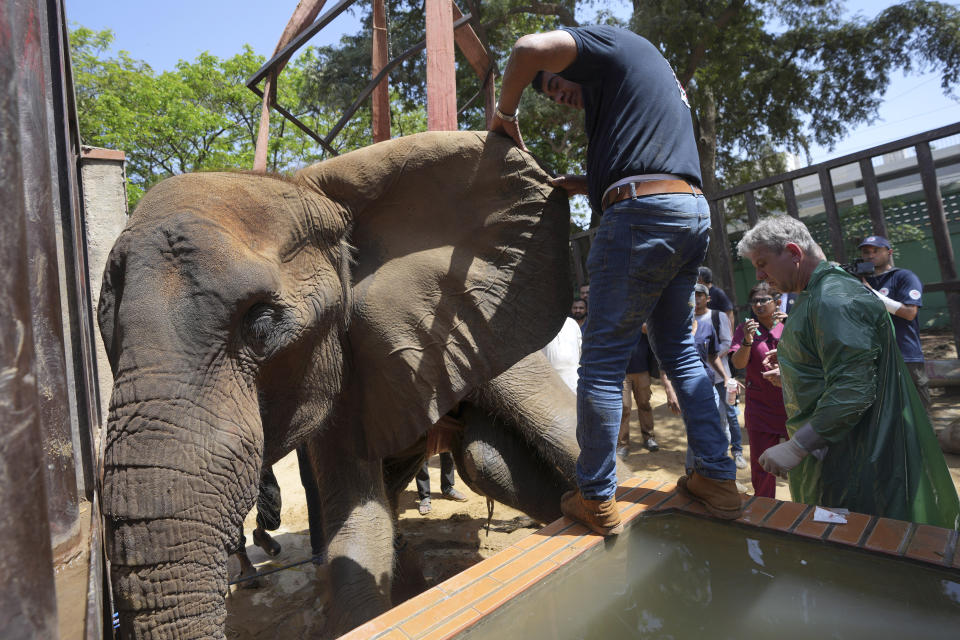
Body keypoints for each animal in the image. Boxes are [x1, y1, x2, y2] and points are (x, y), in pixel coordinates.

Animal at [99, 132, 576, 636]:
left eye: (262, 323)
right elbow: (357, 527)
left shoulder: (468, 312)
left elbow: (567, 432)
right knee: (479, 459)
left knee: (485, 459)